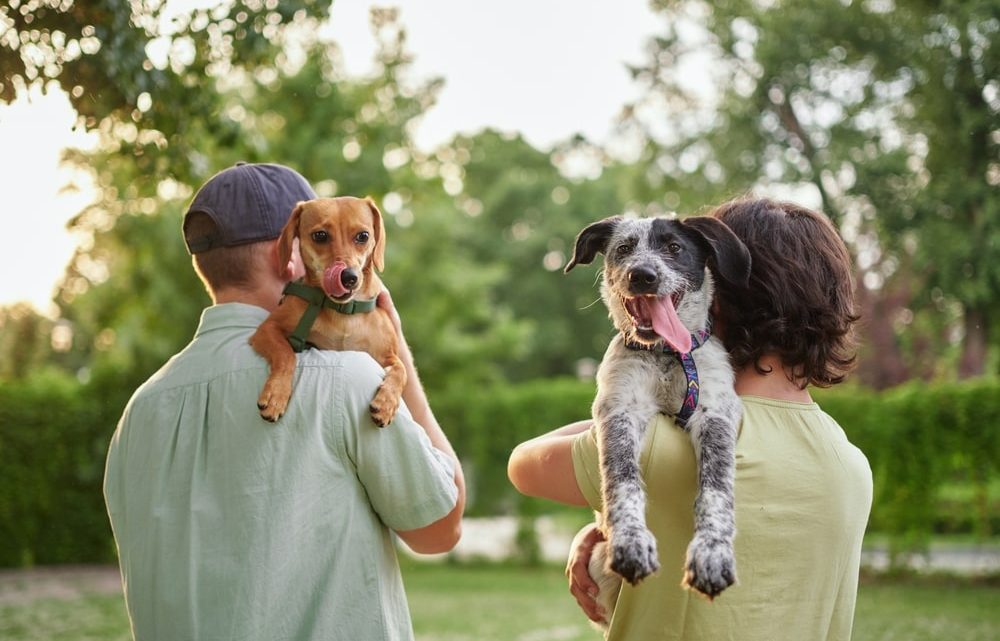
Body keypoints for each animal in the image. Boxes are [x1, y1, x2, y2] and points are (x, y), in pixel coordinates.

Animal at [250, 195, 406, 424]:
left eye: (363, 236)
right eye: (320, 235)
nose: (349, 277)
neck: (343, 312)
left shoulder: (387, 354)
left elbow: (401, 370)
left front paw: (387, 402)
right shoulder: (267, 329)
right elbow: (286, 354)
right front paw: (276, 394)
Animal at [568, 214, 748, 620]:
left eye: (674, 248)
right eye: (624, 248)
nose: (643, 275)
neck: (665, 354)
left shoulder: (715, 414)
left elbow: (716, 489)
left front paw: (712, 555)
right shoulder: (619, 412)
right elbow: (623, 482)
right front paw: (631, 543)